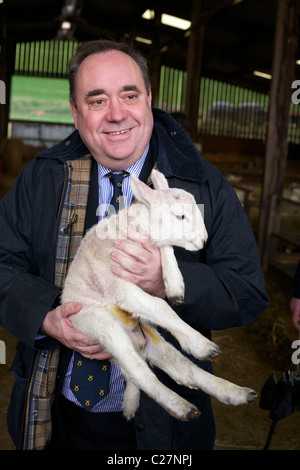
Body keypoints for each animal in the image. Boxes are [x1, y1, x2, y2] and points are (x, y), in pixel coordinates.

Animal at [62, 170, 256, 422]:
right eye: (181, 216)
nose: (204, 240)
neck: (131, 226)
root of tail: (136, 343)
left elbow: (166, 249)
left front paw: (175, 286)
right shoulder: (118, 285)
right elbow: (160, 306)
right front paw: (198, 341)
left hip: (151, 337)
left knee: (186, 371)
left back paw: (236, 393)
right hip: (100, 325)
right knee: (140, 372)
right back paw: (183, 402)